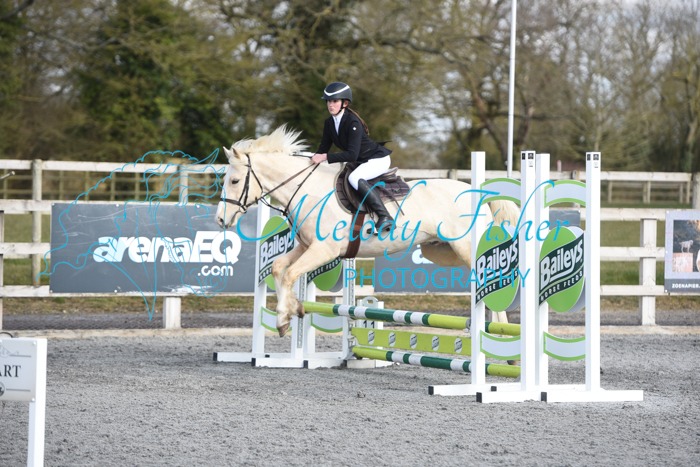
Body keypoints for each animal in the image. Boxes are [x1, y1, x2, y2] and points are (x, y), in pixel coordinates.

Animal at [215, 125, 519, 336]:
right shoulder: (306, 246)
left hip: (465, 247)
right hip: (441, 251)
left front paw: (285, 318)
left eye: (234, 180)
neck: (307, 189)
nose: (220, 220)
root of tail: (477, 192)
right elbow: (279, 268)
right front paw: (290, 314)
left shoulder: (323, 250)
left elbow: (290, 274)